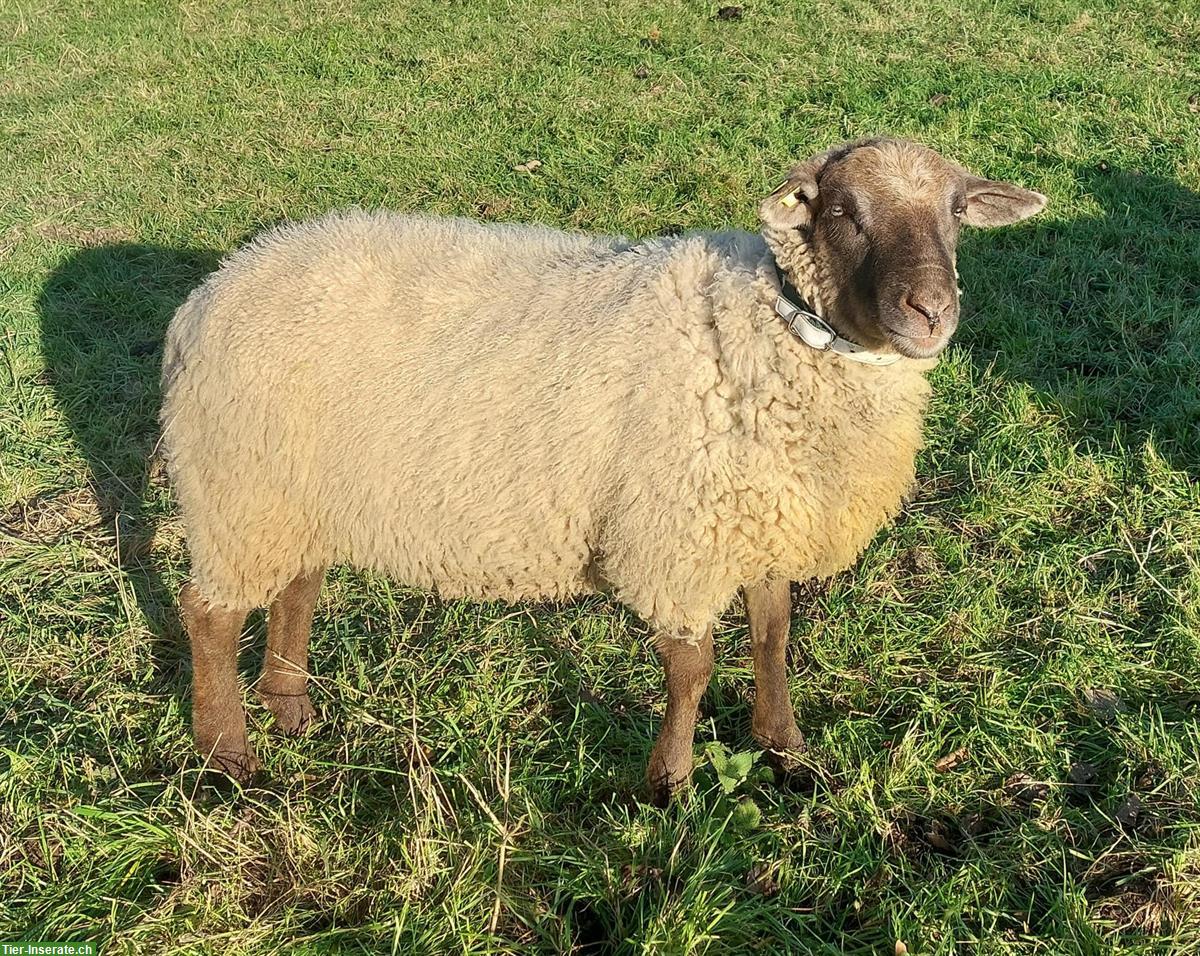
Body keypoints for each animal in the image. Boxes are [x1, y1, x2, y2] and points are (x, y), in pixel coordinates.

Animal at [164, 137, 1046, 801]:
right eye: (841, 212)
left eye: (956, 213)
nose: (932, 313)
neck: (765, 330)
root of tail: (215, 287)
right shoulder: (678, 537)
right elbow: (692, 669)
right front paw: (670, 786)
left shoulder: (761, 520)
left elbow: (773, 640)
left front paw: (787, 752)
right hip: (237, 486)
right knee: (208, 616)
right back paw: (229, 757)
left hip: (293, 490)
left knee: (297, 588)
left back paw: (290, 707)